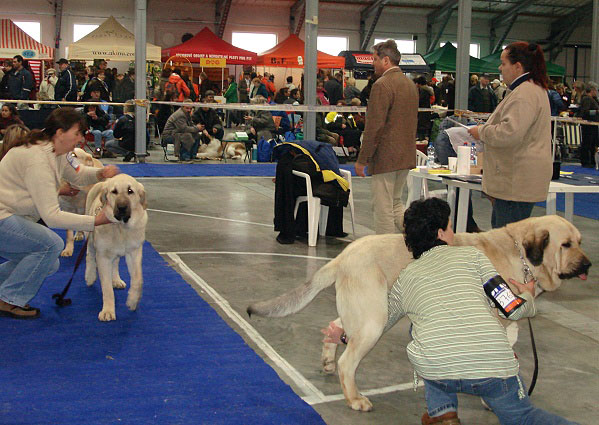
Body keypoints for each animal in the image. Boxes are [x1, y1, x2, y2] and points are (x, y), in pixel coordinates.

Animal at [84, 174, 149, 320]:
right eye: (114, 191)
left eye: (130, 191)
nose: (122, 207)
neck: (121, 227)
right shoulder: (103, 256)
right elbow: (107, 288)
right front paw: (108, 311)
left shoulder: (134, 252)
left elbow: (138, 279)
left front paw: (133, 301)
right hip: (90, 237)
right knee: (89, 255)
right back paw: (90, 276)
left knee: (116, 262)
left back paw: (116, 279)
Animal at [247, 215, 592, 410]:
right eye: (566, 245)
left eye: (579, 242)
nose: (588, 265)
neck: (519, 252)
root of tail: (343, 256)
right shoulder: (497, 324)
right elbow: (499, 362)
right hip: (374, 320)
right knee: (349, 362)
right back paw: (355, 398)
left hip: (372, 312)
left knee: (335, 329)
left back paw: (328, 361)